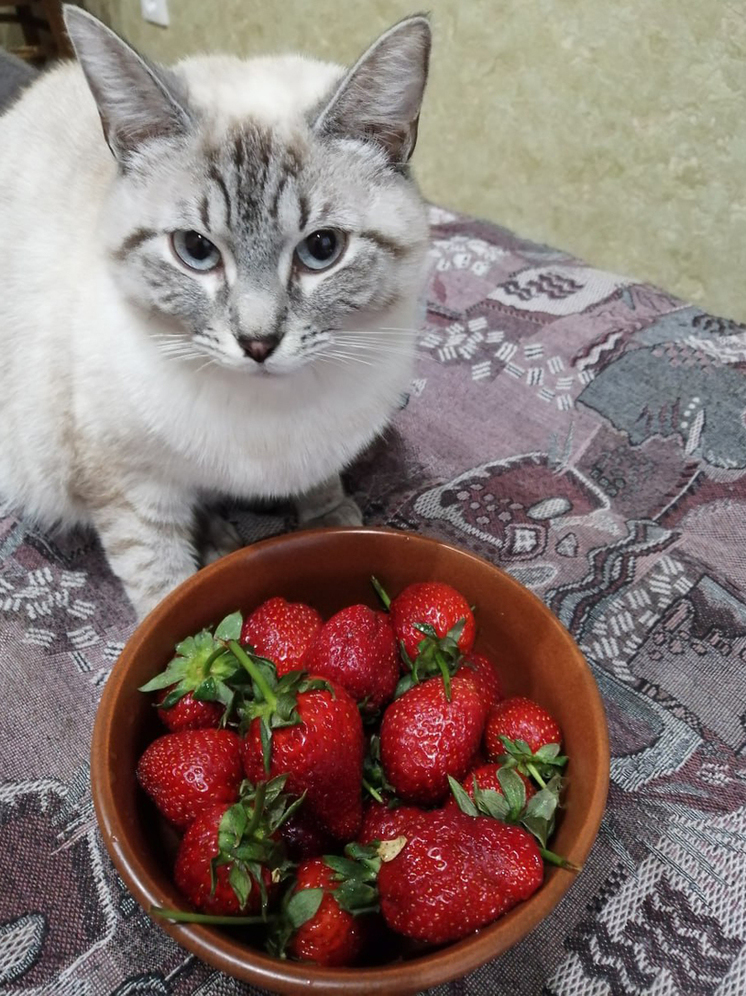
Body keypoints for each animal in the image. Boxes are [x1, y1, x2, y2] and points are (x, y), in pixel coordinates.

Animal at [0, 5, 430, 616]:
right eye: (196, 250)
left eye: (322, 249)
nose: (258, 342)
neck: (270, 415)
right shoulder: (127, 485)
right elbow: (161, 586)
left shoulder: (323, 447)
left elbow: (321, 484)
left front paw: (329, 519)